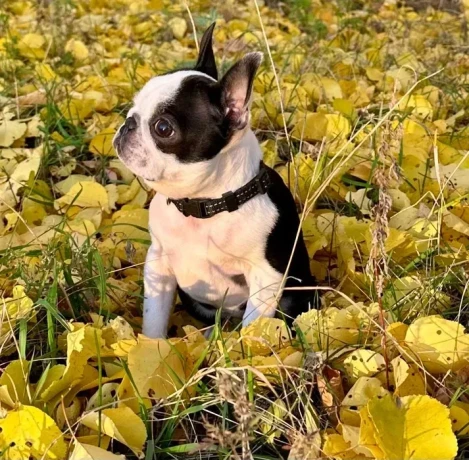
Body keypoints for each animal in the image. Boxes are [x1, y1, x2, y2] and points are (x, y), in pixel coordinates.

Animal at [113, 22, 318, 338]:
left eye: (163, 128)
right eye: (134, 107)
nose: (128, 124)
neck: (203, 204)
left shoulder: (266, 276)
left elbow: (253, 325)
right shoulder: (158, 262)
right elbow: (154, 316)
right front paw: (152, 346)